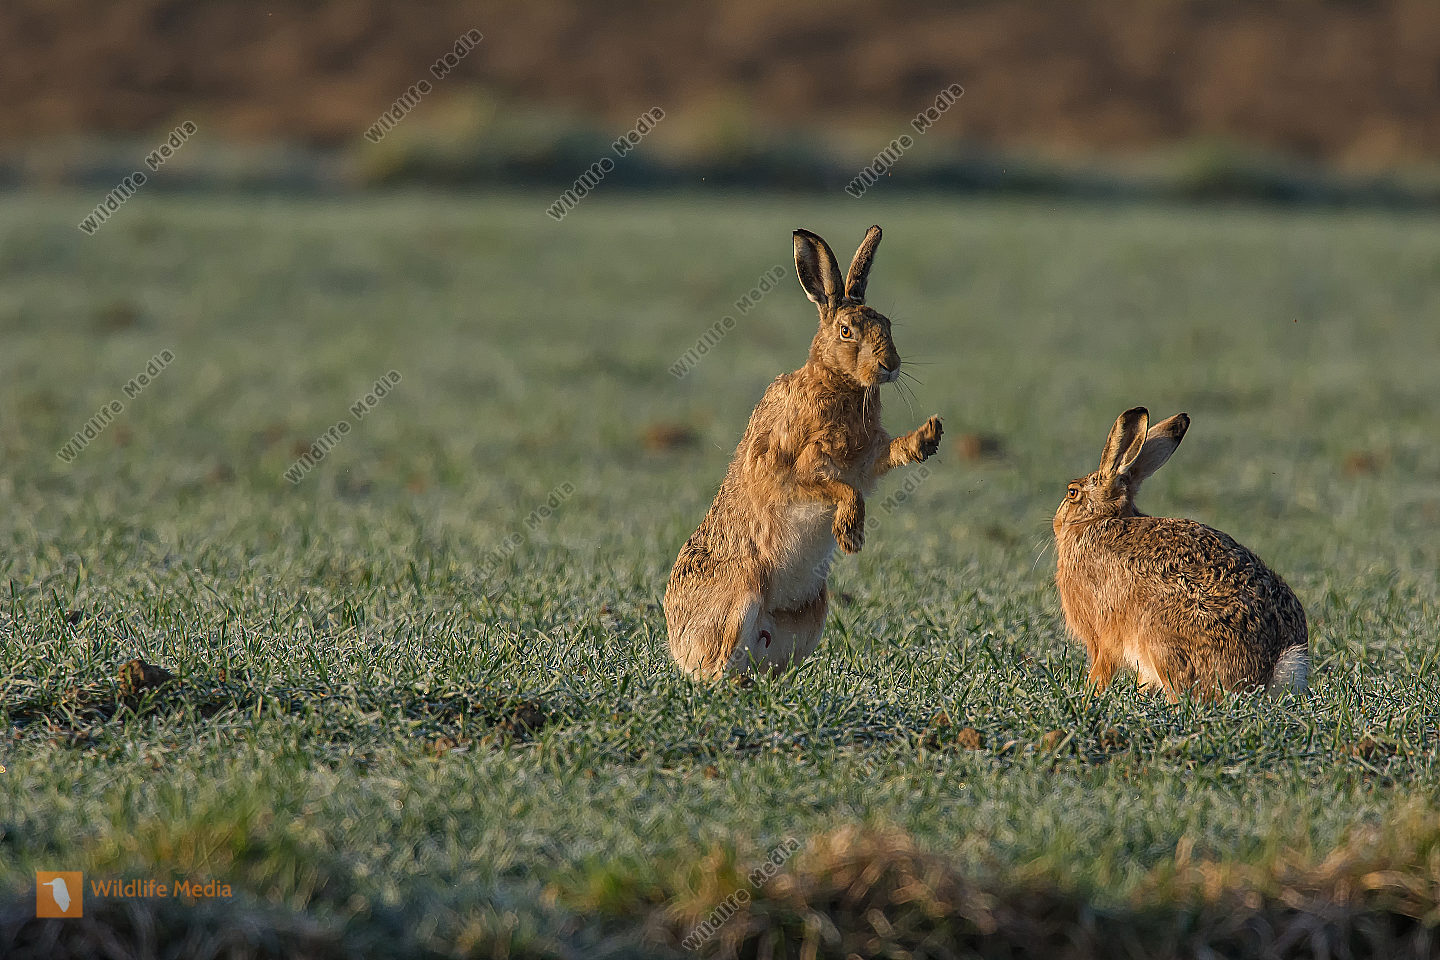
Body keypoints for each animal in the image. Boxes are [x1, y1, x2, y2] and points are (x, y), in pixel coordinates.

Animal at [664, 226, 943, 681]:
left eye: (886, 324)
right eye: (846, 330)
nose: (890, 365)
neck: (837, 383)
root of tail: (677, 641)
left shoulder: (866, 460)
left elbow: (878, 463)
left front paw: (927, 438)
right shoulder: (796, 471)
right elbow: (842, 490)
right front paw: (850, 535)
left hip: (811, 617)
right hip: (740, 596)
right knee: (717, 666)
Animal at [1053, 406, 1309, 699]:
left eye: (1072, 492)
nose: (1056, 522)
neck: (1099, 520)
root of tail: (1272, 668)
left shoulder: (1103, 635)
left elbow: (1102, 667)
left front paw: (1088, 694)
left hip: (1162, 642)